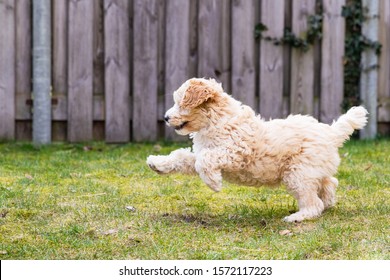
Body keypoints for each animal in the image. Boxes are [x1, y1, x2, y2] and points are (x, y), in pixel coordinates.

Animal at [147, 77, 368, 222]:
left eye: (179, 102)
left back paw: (298, 217)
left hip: (298, 173)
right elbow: (182, 157)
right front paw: (157, 163)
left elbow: (206, 160)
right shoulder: (203, 152)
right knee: (330, 182)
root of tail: (331, 133)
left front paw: (214, 183)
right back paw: (328, 202)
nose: (165, 118)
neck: (218, 121)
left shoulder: (234, 152)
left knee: (314, 202)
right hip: (312, 169)